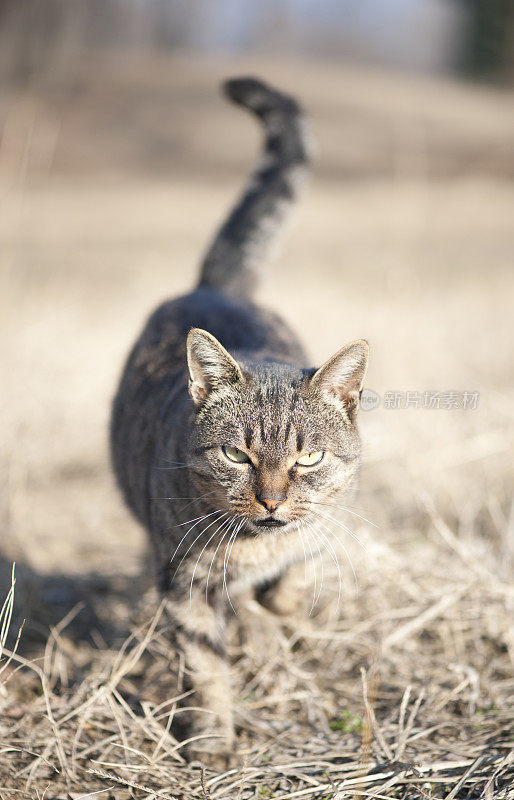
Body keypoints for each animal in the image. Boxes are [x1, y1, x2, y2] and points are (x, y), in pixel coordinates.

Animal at [111, 76, 368, 768]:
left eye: (309, 458)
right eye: (238, 456)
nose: (271, 499)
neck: (255, 544)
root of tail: (216, 287)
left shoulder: (321, 522)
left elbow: (296, 572)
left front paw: (278, 609)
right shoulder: (182, 581)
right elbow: (206, 667)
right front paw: (211, 742)